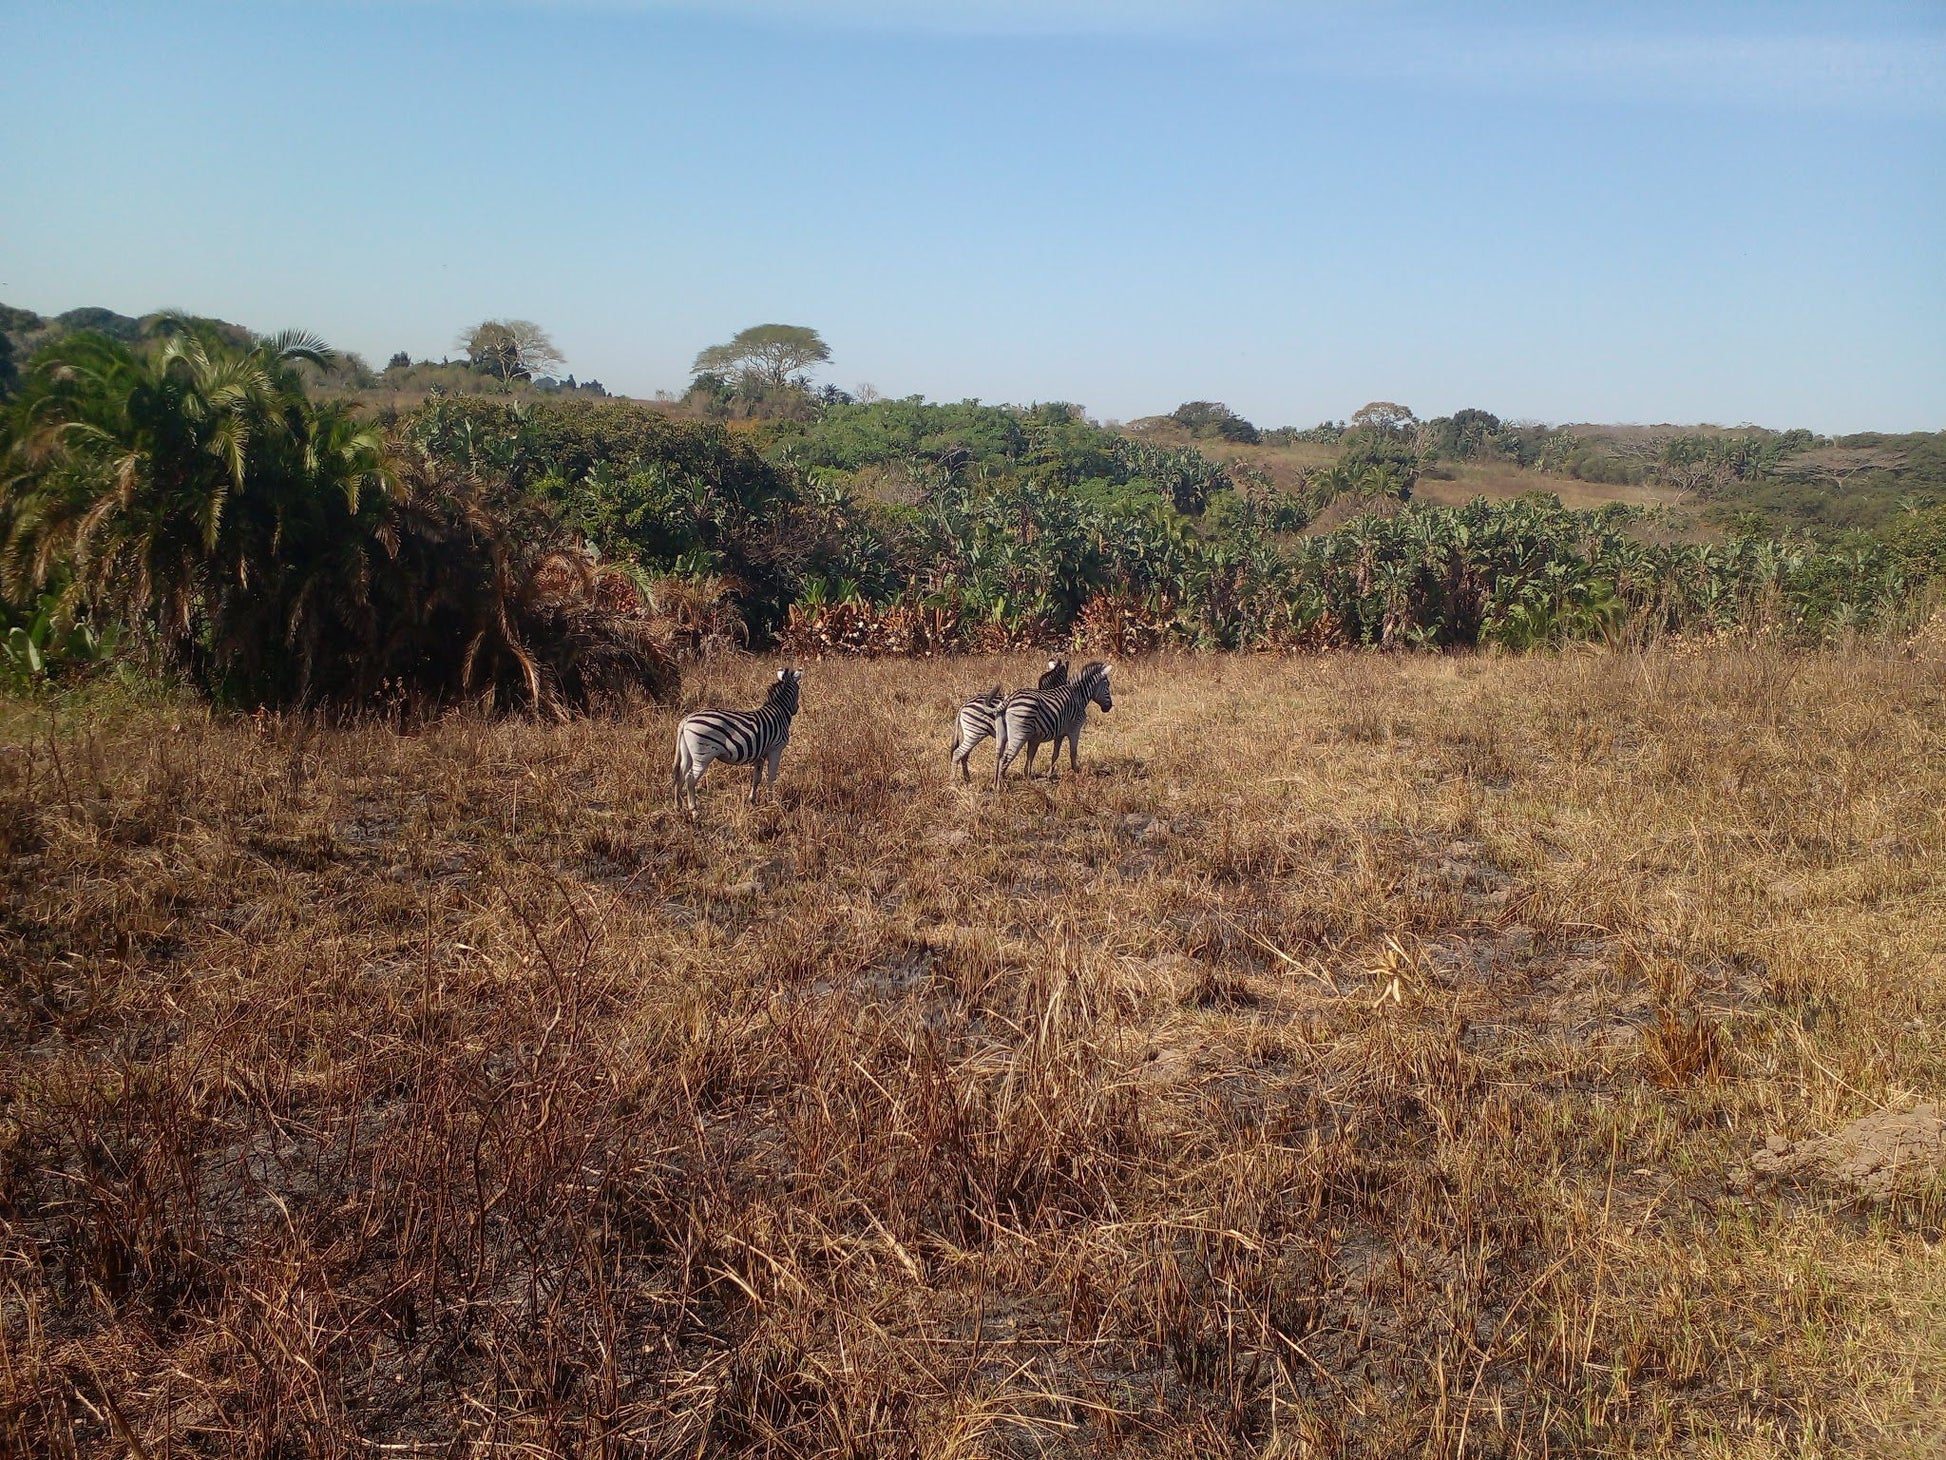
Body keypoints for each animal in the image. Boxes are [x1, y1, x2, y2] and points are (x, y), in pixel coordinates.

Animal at [673, 669, 801, 817]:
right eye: (798, 689)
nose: (796, 709)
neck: (779, 710)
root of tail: (686, 720)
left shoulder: (761, 754)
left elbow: (756, 778)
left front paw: (753, 801)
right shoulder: (776, 749)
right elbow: (771, 777)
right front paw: (773, 803)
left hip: (686, 753)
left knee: (680, 775)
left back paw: (678, 806)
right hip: (703, 755)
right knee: (690, 778)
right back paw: (694, 810)